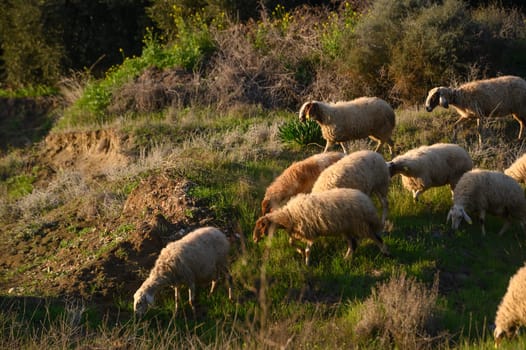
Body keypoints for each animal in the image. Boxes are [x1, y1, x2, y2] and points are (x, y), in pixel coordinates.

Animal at [253, 189, 392, 266]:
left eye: (261, 227)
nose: (254, 240)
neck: (288, 216)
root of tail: (367, 202)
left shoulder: (310, 232)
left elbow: (307, 250)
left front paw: (307, 263)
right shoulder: (298, 231)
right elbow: (291, 242)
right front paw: (300, 251)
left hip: (362, 225)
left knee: (376, 238)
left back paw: (386, 252)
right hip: (346, 228)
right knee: (353, 244)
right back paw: (346, 259)